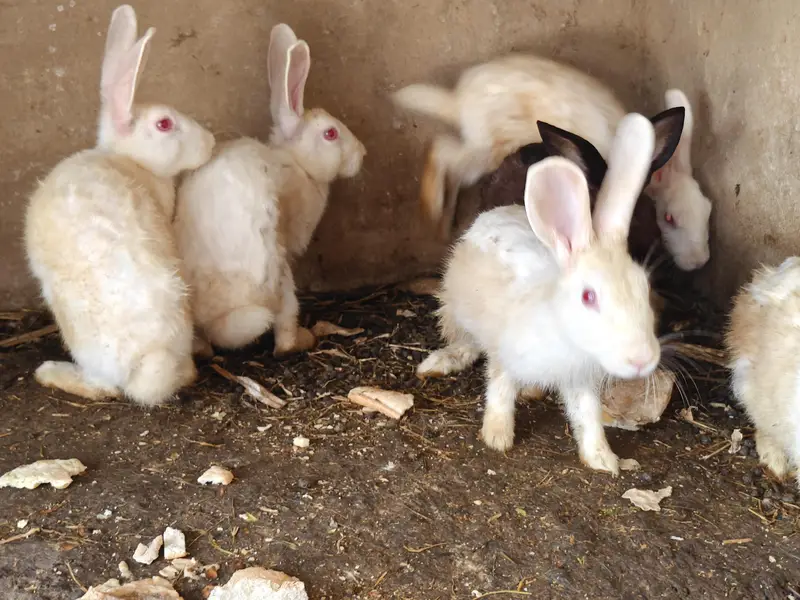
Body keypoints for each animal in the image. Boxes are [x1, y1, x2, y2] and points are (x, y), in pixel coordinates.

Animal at [174, 23, 366, 356]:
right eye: (331, 134)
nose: (362, 154)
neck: (297, 163)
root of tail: (217, 319)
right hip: (278, 270)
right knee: (283, 321)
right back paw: (300, 340)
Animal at [416, 113, 661, 475]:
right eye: (588, 297)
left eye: (645, 288)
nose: (642, 359)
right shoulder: (505, 355)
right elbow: (500, 391)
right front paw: (497, 436)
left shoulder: (581, 380)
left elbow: (588, 416)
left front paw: (603, 459)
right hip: (454, 308)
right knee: (464, 342)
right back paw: (440, 363)